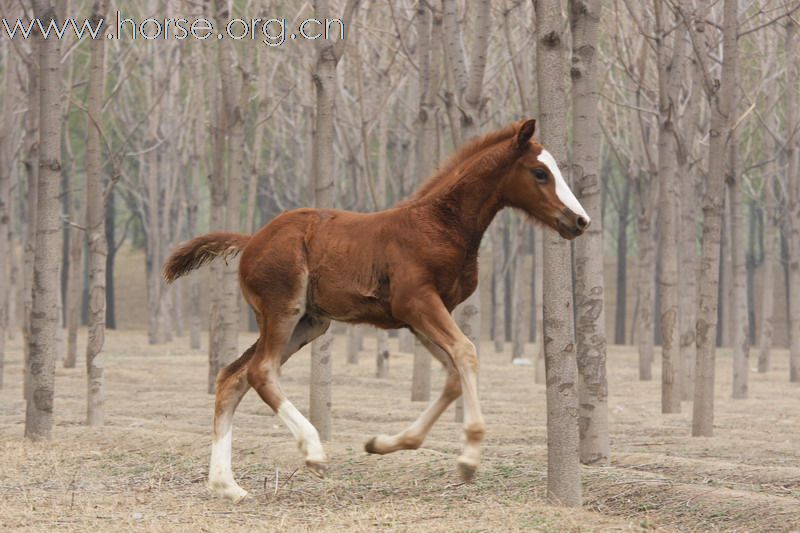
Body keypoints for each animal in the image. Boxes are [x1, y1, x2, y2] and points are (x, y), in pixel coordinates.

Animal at [162, 118, 588, 500]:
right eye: (540, 173)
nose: (580, 221)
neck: (440, 224)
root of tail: (250, 240)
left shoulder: (419, 317)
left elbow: (453, 374)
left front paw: (383, 443)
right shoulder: (417, 302)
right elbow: (466, 353)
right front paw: (468, 459)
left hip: (310, 323)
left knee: (232, 377)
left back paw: (228, 486)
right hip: (283, 308)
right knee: (260, 370)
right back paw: (313, 452)